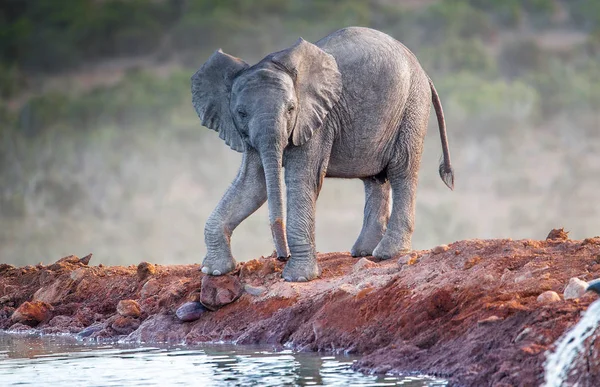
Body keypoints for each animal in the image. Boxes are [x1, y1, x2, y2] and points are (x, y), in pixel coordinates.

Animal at [190, 26, 452, 282]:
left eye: (291, 109)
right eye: (241, 113)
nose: (281, 256)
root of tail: (423, 71)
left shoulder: (319, 120)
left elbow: (302, 180)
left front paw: (298, 277)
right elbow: (253, 184)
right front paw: (214, 271)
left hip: (412, 106)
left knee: (401, 170)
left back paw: (388, 253)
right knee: (375, 179)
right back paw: (363, 252)